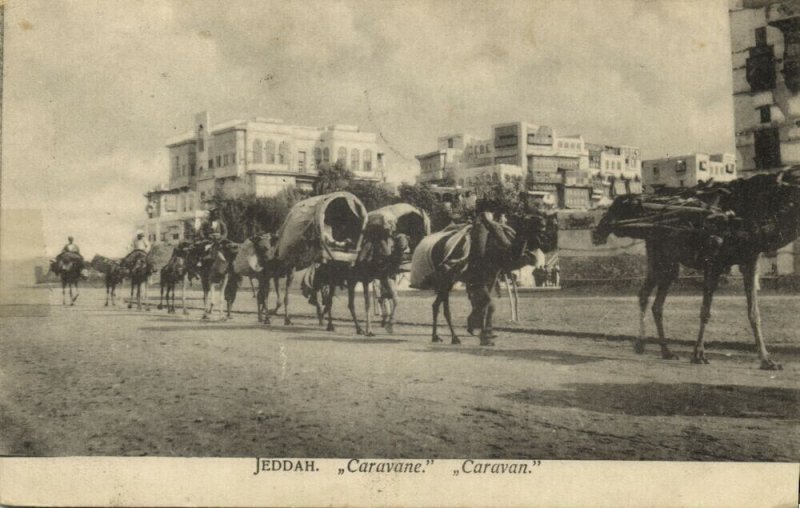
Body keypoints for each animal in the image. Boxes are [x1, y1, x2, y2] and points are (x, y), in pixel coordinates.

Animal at [592, 167, 800, 370]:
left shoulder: (749, 261)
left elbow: (754, 313)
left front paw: (767, 360)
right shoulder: (713, 262)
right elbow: (705, 311)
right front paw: (698, 355)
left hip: (668, 263)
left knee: (655, 302)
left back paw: (665, 351)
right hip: (660, 255)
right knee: (646, 295)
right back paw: (642, 344)